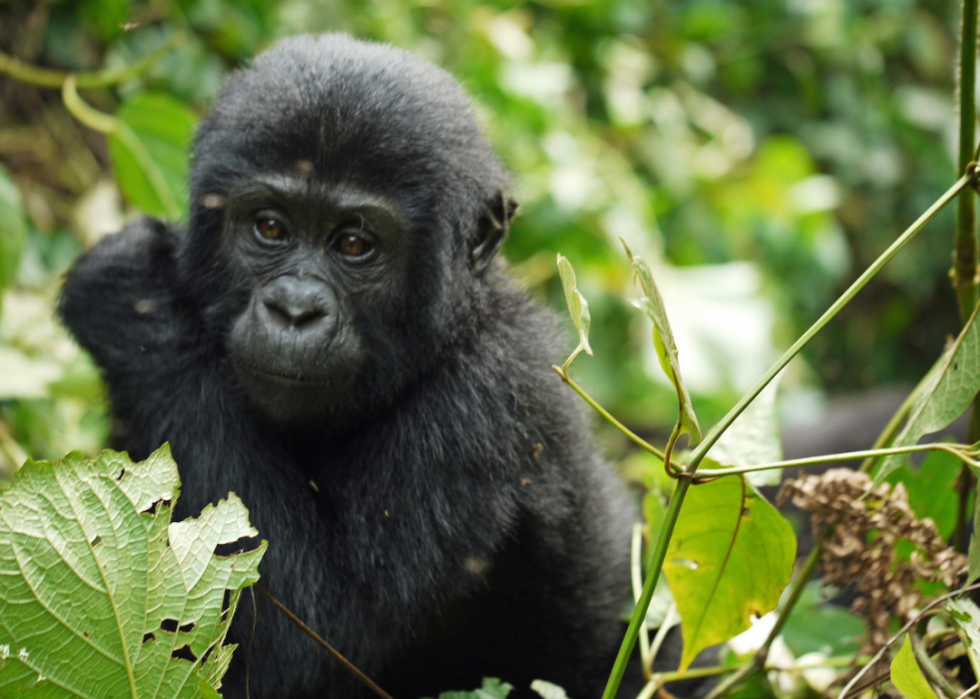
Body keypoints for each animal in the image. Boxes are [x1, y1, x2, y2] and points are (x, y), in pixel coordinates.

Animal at [57, 34, 632, 699]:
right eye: (270, 227)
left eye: (355, 244)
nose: (294, 309)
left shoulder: (490, 398)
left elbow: (309, 641)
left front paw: (132, 296)